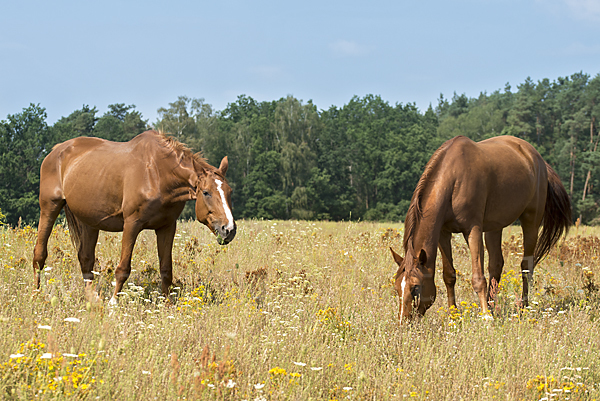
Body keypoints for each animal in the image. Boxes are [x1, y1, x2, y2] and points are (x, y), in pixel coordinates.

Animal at [31, 130, 236, 302]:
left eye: (230, 192)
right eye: (206, 193)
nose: (229, 229)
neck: (157, 173)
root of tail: (56, 151)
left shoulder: (167, 227)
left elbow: (166, 270)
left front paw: (168, 306)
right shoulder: (132, 224)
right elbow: (123, 268)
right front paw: (113, 306)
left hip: (89, 221)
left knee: (86, 259)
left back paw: (92, 300)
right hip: (49, 207)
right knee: (39, 255)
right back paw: (36, 295)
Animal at [392, 135, 568, 322]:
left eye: (416, 287)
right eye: (397, 287)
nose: (404, 321)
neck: (454, 180)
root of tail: (538, 159)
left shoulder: (473, 230)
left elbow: (478, 278)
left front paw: (485, 317)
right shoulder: (443, 233)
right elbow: (449, 275)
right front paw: (454, 315)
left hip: (531, 221)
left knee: (526, 265)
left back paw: (523, 308)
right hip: (495, 226)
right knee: (496, 264)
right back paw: (493, 307)